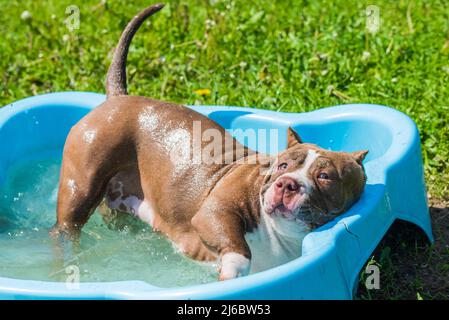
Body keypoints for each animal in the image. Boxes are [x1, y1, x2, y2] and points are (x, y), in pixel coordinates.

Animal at [52, 4, 368, 280]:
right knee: (66, 226)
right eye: (284, 166)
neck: (280, 235)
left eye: (325, 176)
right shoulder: (215, 212)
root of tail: (118, 97)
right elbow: (236, 248)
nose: (286, 184)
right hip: (82, 182)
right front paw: (232, 271)